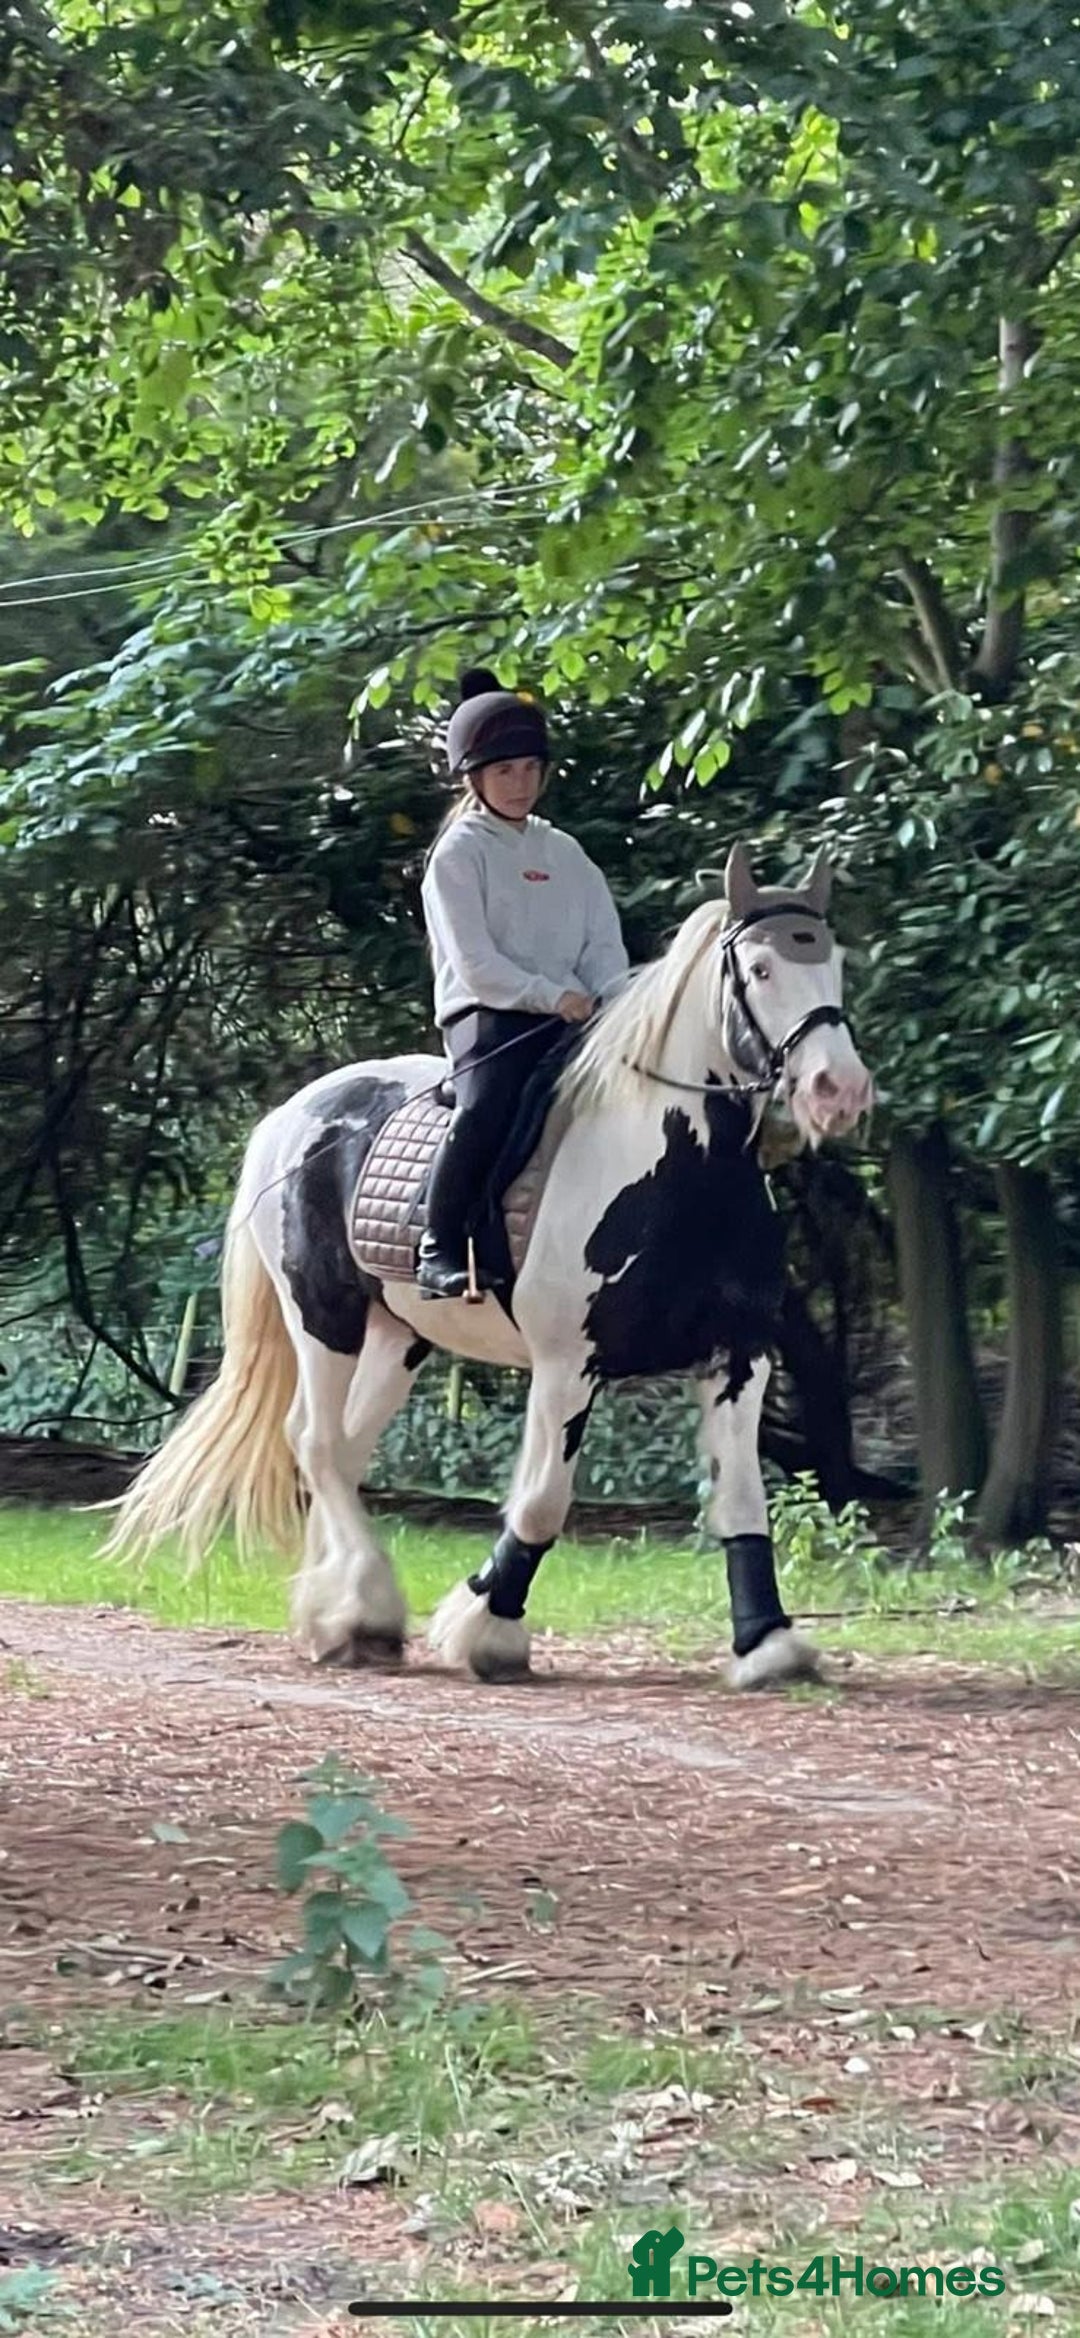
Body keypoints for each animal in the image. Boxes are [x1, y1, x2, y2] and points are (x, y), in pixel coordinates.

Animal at [105, 842, 873, 1687]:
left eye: (834, 960)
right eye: (762, 969)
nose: (840, 1090)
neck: (677, 1172)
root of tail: (291, 1115)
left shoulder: (738, 1360)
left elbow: (741, 1503)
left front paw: (768, 1643)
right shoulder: (569, 1365)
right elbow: (541, 1501)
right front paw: (488, 1629)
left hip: (397, 1336)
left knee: (343, 1447)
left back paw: (336, 1613)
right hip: (324, 1318)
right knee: (314, 1440)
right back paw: (364, 1609)